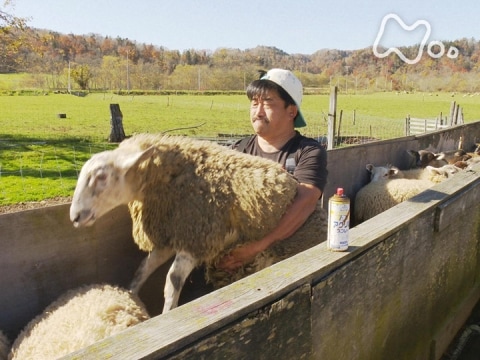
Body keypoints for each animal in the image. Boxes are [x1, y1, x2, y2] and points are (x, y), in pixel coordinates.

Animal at [69, 134, 328, 314]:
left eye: (102, 177)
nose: (75, 217)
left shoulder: (197, 238)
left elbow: (172, 281)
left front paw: (167, 315)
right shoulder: (169, 236)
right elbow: (142, 270)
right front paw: (129, 297)